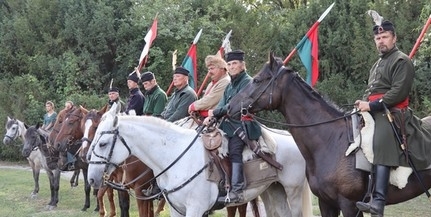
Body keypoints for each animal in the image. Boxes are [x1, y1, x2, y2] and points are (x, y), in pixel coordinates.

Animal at [88, 103, 312, 217]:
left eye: (102, 143)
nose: (91, 179)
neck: (175, 156)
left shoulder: (195, 209)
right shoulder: (176, 210)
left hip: (293, 190)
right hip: (273, 190)